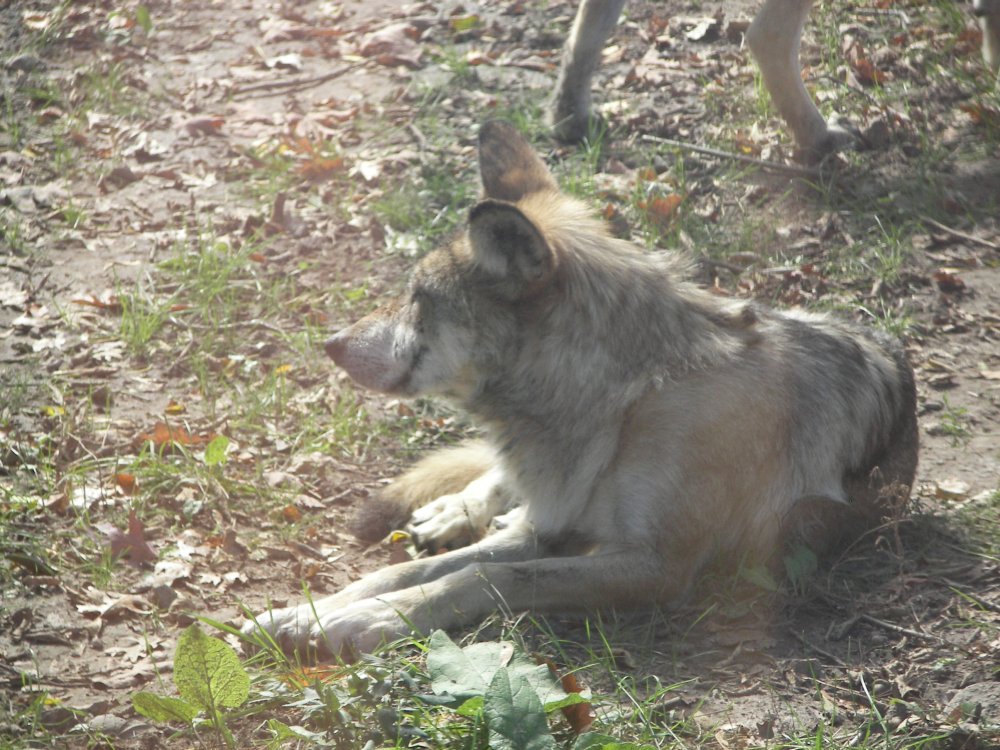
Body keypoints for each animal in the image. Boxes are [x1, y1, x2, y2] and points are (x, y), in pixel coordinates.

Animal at [242, 120, 916, 660]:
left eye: (418, 299)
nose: (330, 343)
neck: (624, 401)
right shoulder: (546, 529)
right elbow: (416, 571)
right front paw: (305, 611)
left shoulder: (655, 565)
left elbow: (481, 579)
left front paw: (363, 622)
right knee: (489, 485)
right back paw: (452, 510)